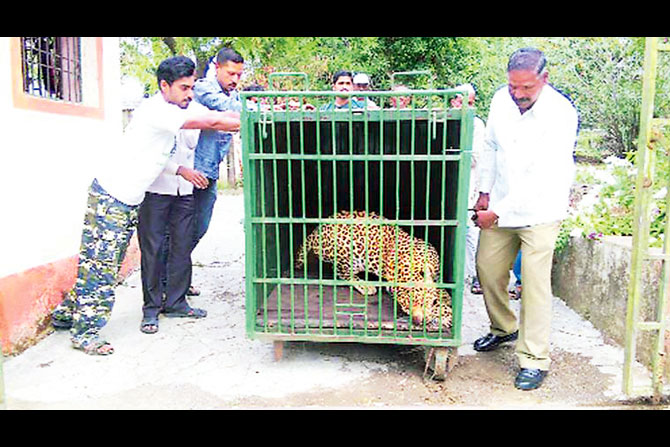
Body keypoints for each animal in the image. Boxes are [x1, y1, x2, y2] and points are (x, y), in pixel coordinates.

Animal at [296, 210, 454, 328]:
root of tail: (317, 230)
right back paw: (366, 286)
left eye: (421, 302)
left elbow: (442, 292)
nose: (417, 322)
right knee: (340, 271)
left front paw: (445, 305)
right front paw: (443, 314)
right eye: (405, 308)